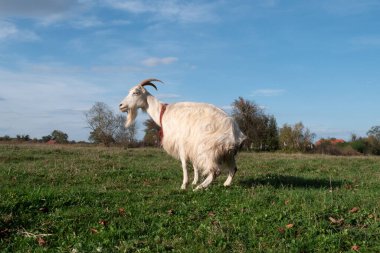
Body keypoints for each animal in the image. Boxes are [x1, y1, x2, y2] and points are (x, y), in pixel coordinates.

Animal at [120, 79, 248, 190]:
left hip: (208, 150)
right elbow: (195, 165)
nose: (121, 105)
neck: (163, 113)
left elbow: (184, 164)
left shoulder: (182, 143)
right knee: (233, 169)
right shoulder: (191, 146)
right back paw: (225, 184)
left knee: (215, 171)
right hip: (228, 153)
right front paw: (194, 181)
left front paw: (184, 185)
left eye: (135, 92)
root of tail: (235, 133)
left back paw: (199, 188)